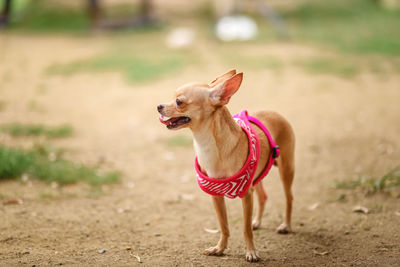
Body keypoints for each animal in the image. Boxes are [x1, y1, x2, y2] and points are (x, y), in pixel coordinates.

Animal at [158, 70, 296, 262]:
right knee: (263, 196)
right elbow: (223, 225)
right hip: (257, 177)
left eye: (179, 102)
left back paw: (286, 225)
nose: (158, 106)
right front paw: (219, 249)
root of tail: (274, 112)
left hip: (286, 169)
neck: (207, 145)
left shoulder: (246, 195)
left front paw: (251, 251)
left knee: (289, 198)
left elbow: (245, 228)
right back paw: (257, 222)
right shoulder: (216, 196)